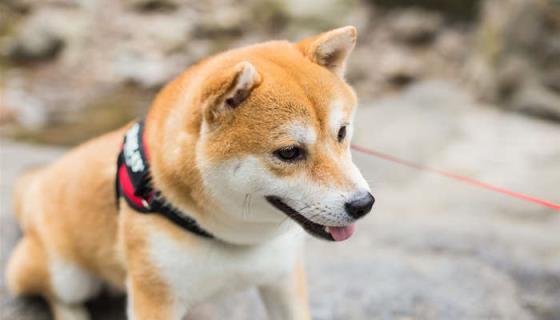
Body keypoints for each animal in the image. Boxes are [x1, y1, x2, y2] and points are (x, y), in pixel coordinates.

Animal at [5, 25, 372, 320]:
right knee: (57, 296)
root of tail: (39, 182)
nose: (363, 204)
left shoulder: (282, 278)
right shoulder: (154, 298)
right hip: (63, 275)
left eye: (341, 132)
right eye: (289, 152)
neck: (232, 238)